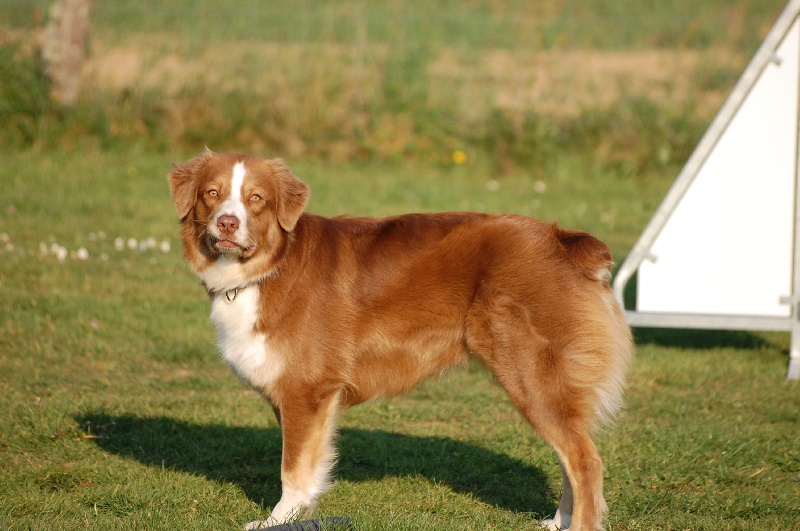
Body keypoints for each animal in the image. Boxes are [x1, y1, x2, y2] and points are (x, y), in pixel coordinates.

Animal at [167, 151, 632, 531]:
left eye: (257, 199)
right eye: (212, 193)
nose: (227, 223)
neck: (272, 264)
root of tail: (565, 241)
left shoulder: (306, 389)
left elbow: (293, 469)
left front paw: (277, 521)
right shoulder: (303, 396)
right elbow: (308, 465)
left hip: (530, 374)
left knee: (584, 460)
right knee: (570, 455)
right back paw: (558, 522)